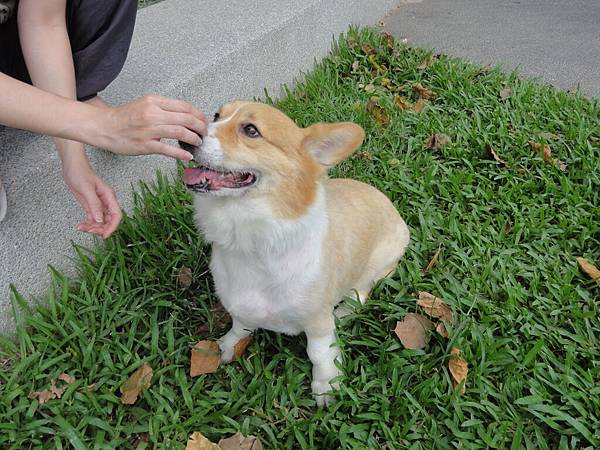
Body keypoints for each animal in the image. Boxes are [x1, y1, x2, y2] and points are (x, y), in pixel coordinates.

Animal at [182, 101, 408, 404]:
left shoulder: (316, 322)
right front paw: (226, 346)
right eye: (217, 115)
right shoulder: (240, 307)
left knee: (361, 293)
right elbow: (239, 326)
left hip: (377, 265)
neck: (254, 242)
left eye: (251, 130)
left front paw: (326, 385)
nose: (184, 136)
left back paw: (343, 312)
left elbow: (319, 353)